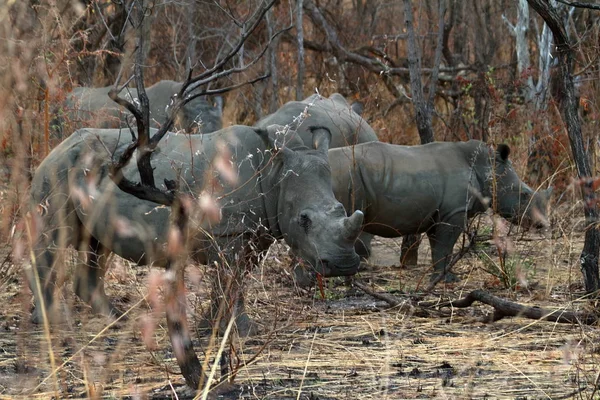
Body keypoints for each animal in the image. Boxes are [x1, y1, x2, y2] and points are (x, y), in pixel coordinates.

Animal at [328, 141, 552, 282]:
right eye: (524, 194)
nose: (542, 224)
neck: (485, 167)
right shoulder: (454, 212)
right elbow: (445, 246)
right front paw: (448, 280)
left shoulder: (439, 213)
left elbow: (438, 247)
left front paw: (441, 278)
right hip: (346, 178)